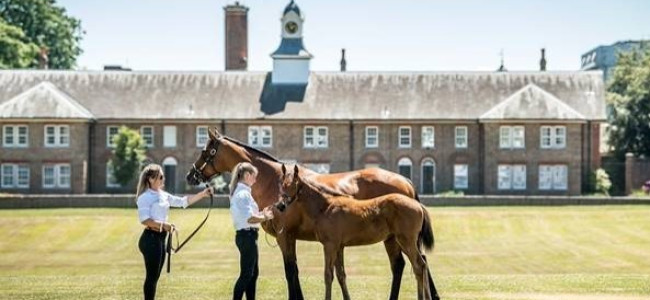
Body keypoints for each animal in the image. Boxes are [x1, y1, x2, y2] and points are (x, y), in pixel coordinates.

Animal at [274, 164, 436, 300]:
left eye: (292, 185)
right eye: (282, 185)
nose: (280, 205)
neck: (326, 207)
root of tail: (418, 205)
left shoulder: (329, 245)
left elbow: (328, 275)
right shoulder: (339, 246)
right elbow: (341, 274)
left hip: (406, 240)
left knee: (418, 265)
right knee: (421, 264)